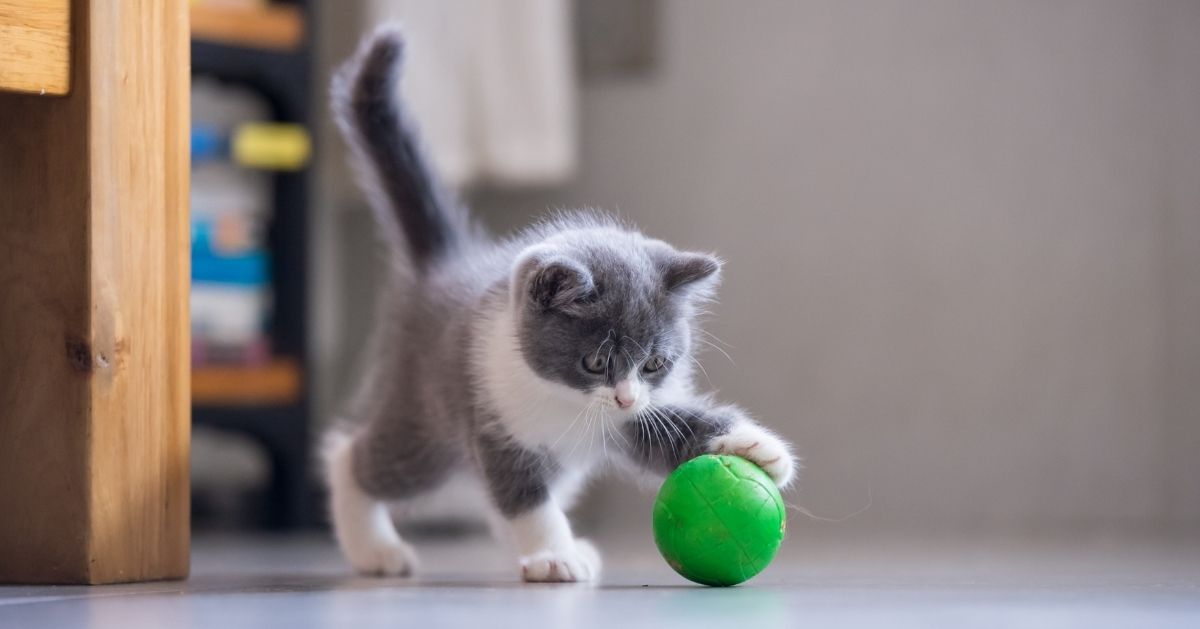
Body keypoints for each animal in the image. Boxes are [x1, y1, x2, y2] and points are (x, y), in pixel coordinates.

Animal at [328, 25, 796, 585]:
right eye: (595, 361)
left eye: (655, 364)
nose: (624, 398)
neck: (567, 403)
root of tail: (446, 264)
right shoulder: (495, 418)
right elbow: (524, 494)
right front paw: (553, 553)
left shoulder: (636, 420)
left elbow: (671, 430)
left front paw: (756, 446)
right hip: (425, 417)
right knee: (356, 455)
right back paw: (373, 546)